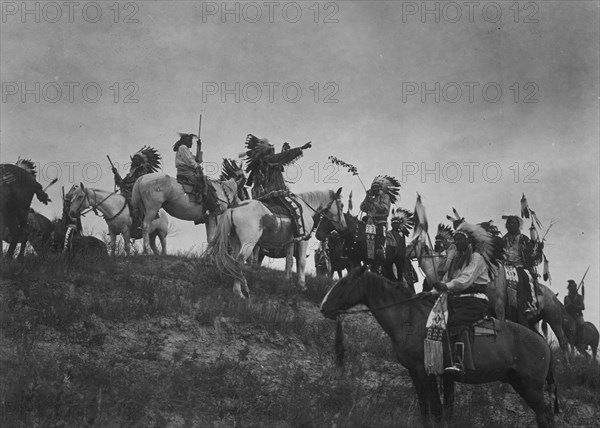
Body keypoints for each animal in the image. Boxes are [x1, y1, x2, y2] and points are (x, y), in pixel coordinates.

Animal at [206, 189, 346, 300]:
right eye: (341, 205)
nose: (344, 226)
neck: (306, 209)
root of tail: (232, 209)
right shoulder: (303, 240)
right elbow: (301, 262)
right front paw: (302, 286)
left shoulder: (291, 242)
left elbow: (289, 261)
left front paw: (288, 283)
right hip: (248, 244)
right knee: (239, 262)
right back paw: (239, 292)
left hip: (235, 243)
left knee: (233, 261)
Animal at [322, 268, 560, 428]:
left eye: (345, 282)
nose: (324, 308)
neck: (409, 319)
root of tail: (545, 345)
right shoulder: (415, 372)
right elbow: (425, 408)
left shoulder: (426, 371)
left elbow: (436, 410)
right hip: (519, 382)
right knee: (543, 416)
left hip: (532, 386)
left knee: (545, 416)